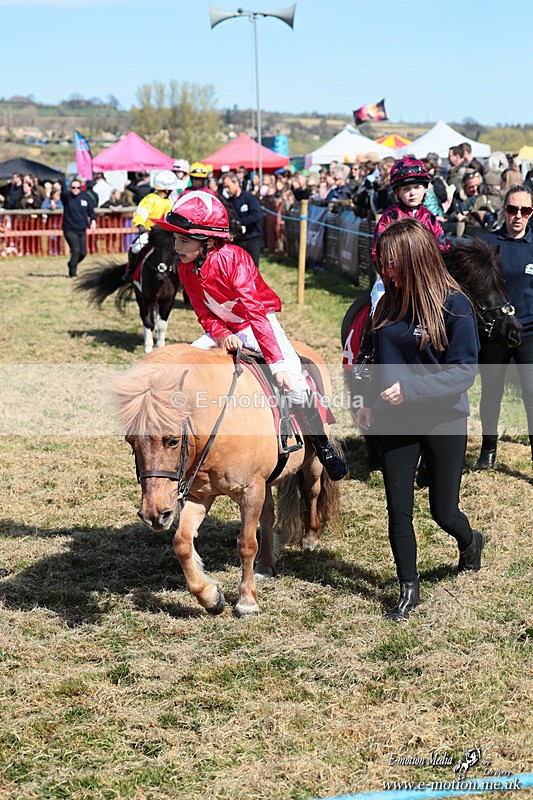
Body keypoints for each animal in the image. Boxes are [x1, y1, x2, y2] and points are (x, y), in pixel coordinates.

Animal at [113, 342, 341, 617]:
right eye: (130, 442)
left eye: (173, 441)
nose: (154, 514)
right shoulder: (201, 495)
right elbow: (181, 542)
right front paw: (210, 596)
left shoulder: (250, 491)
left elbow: (246, 544)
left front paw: (247, 601)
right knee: (267, 516)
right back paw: (265, 566)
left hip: (312, 466)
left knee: (312, 492)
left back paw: (310, 538)